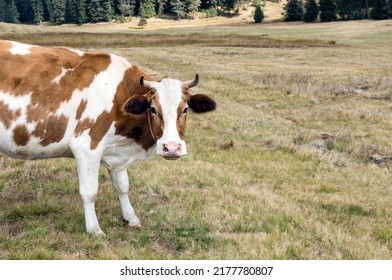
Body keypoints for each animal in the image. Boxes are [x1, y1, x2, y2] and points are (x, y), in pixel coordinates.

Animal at [0, 39, 216, 235]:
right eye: (153, 109)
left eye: (185, 109)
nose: (171, 148)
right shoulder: (87, 146)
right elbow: (89, 192)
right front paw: (94, 229)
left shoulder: (116, 151)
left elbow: (122, 185)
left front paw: (131, 218)